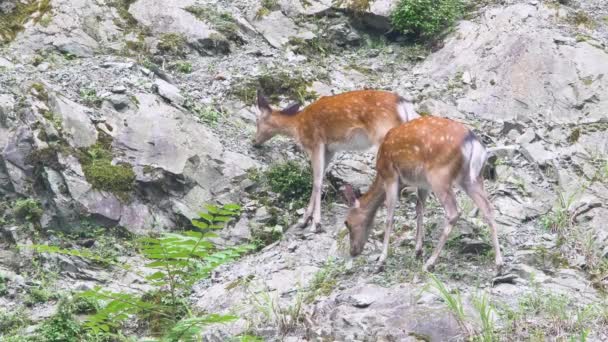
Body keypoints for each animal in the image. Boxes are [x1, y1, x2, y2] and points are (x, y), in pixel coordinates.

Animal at [254, 89, 420, 232]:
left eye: (257, 121)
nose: (254, 142)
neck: (298, 125)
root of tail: (403, 104)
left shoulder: (316, 142)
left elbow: (317, 181)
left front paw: (316, 223)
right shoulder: (330, 150)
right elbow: (318, 178)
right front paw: (305, 220)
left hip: (383, 133)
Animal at [342, 115, 504, 272]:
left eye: (347, 223)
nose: (352, 251)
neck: (380, 175)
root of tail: (473, 142)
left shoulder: (390, 176)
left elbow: (389, 218)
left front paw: (381, 261)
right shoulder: (422, 184)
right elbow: (419, 209)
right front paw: (418, 250)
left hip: (440, 175)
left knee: (454, 212)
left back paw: (430, 263)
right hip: (472, 179)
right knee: (488, 209)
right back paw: (499, 264)